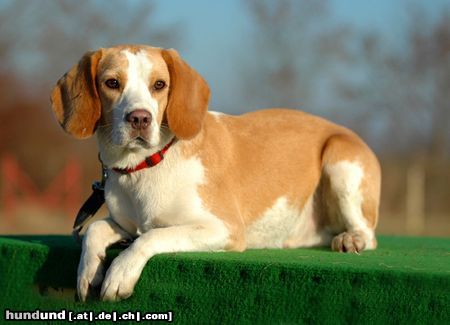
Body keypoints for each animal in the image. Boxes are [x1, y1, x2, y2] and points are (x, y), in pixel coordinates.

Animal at [50, 44, 380, 300]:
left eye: (159, 85)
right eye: (112, 83)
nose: (140, 118)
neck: (144, 166)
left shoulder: (223, 228)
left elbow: (154, 235)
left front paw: (120, 273)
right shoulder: (126, 226)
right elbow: (95, 228)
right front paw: (89, 271)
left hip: (340, 161)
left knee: (368, 234)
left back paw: (352, 240)